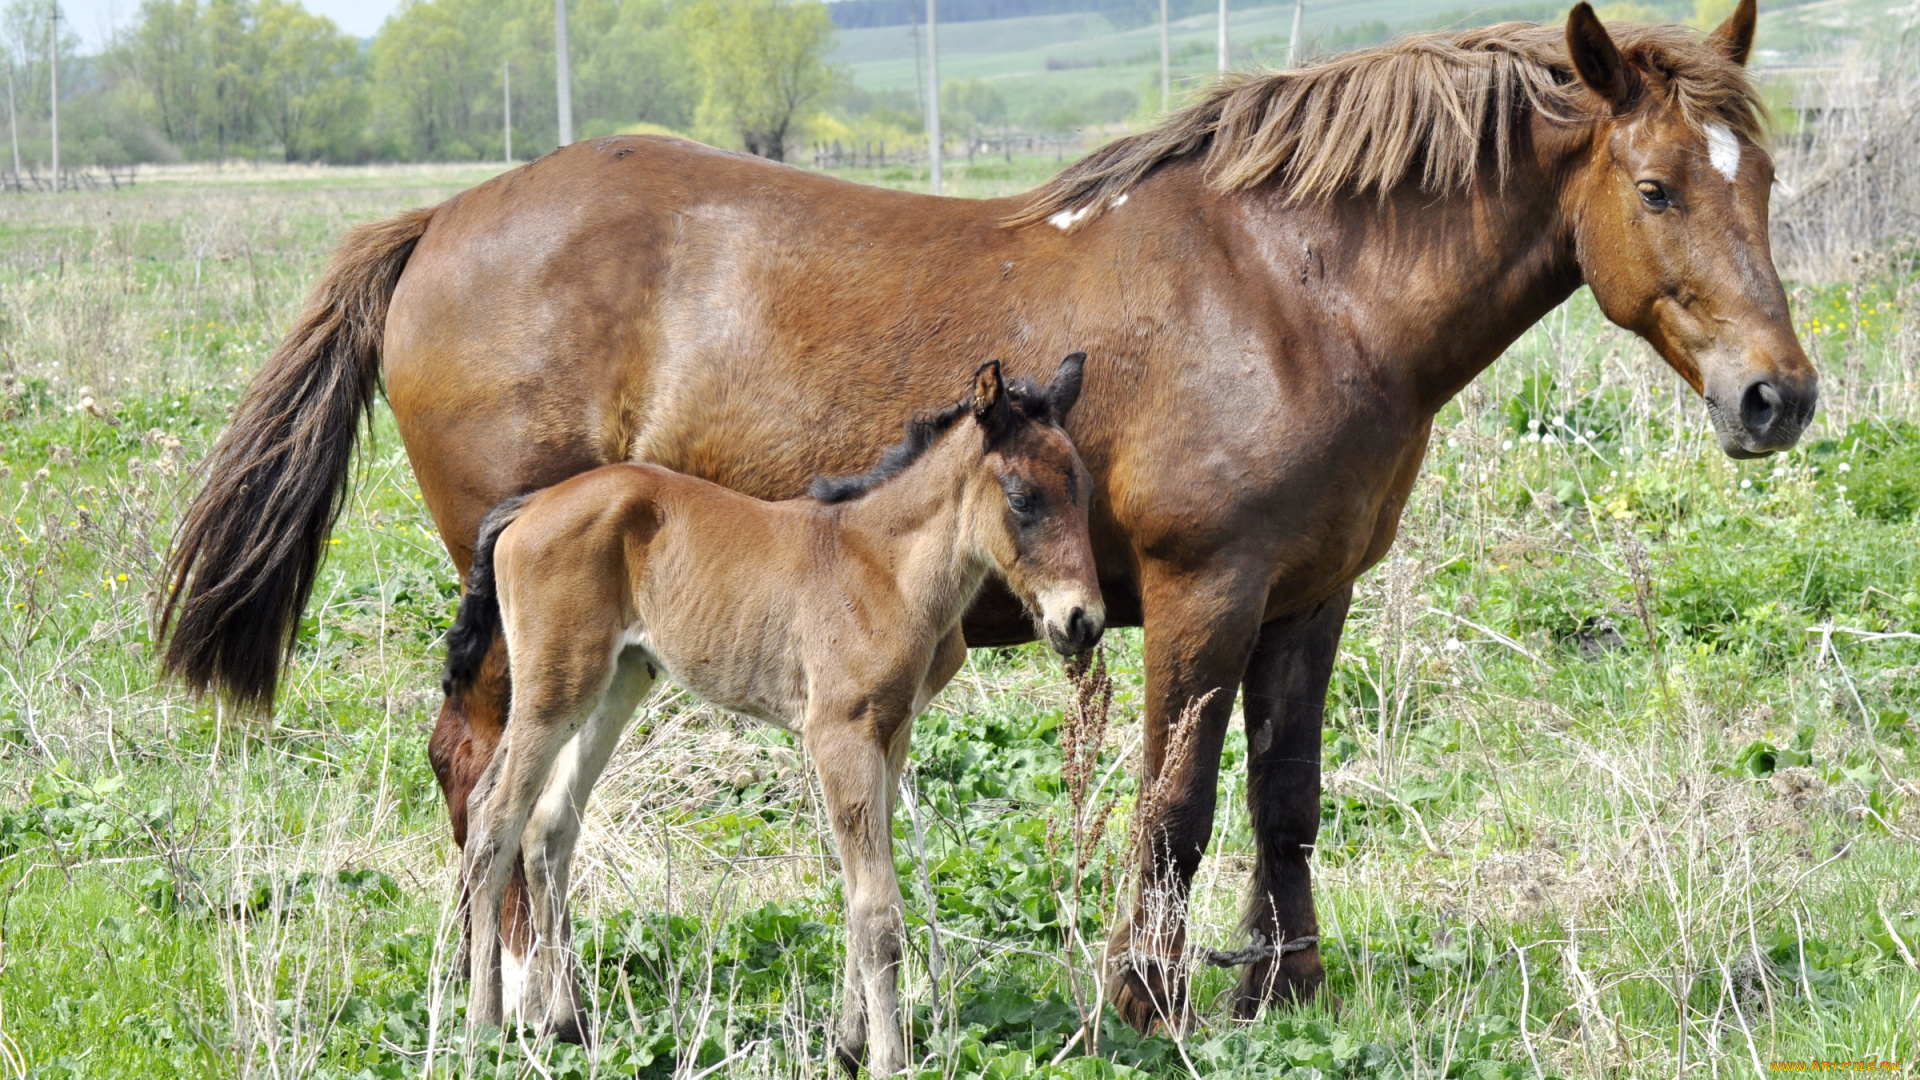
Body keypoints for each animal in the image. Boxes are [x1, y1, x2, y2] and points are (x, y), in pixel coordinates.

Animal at [439, 357, 1098, 1060]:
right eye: (1022, 498)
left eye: (1083, 490)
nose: (1082, 621)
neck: (884, 567)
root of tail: (531, 505)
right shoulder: (840, 734)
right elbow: (877, 908)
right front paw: (888, 1058)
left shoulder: (892, 734)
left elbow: (856, 888)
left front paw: (849, 1042)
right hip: (553, 691)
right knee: (494, 820)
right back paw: (483, 1022)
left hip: (616, 684)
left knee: (548, 827)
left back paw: (566, 1022)